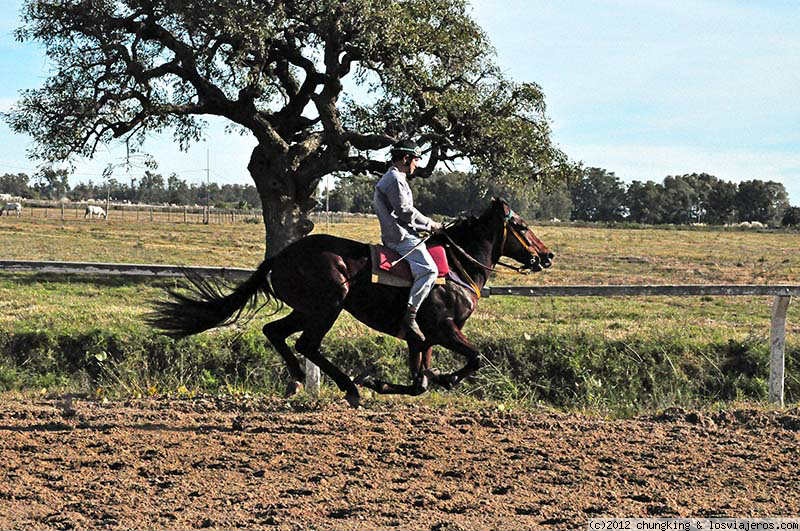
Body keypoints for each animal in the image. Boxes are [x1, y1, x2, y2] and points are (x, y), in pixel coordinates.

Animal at [150, 197, 552, 410]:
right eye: (522, 225)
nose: (546, 256)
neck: (455, 266)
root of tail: (281, 256)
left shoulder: (422, 339)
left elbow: (420, 381)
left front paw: (387, 382)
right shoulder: (443, 329)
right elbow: (475, 358)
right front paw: (444, 378)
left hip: (307, 309)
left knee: (275, 332)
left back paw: (298, 380)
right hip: (328, 305)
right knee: (307, 344)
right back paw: (349, 388)